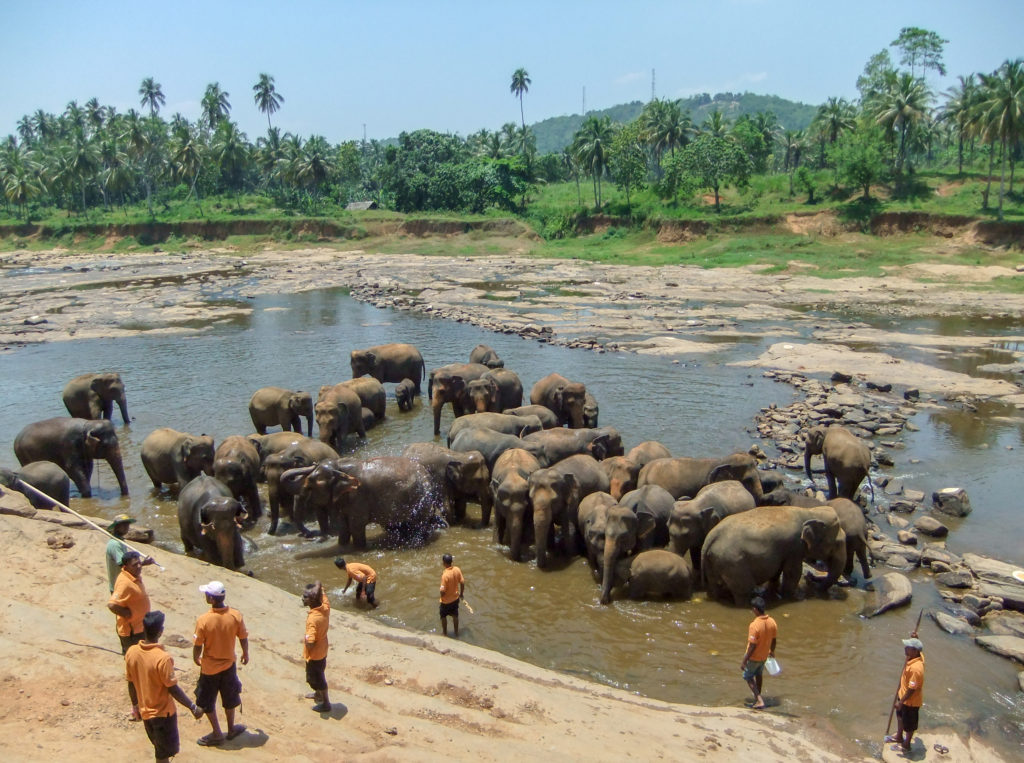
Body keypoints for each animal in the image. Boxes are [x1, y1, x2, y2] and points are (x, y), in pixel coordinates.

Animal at [280, 458, 444, 548]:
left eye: (310, 485)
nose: (313, 463)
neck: (341, 467)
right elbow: (344, 528)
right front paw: (342, 546)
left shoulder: (359, 498)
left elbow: (356, 526)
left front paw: (359, 548)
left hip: (421, 502)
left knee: (419, 527)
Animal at [700, 503, 843, 602]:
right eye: (838, 543)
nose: (812, 583)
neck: (810, 512)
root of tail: (710, 537)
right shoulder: (795, 547)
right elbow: (793, 573)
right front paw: (791, 598)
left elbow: (777, 571)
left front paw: (775, 594)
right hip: (733, 563)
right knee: (744, 591)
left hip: (714, 561)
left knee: (715, 587)